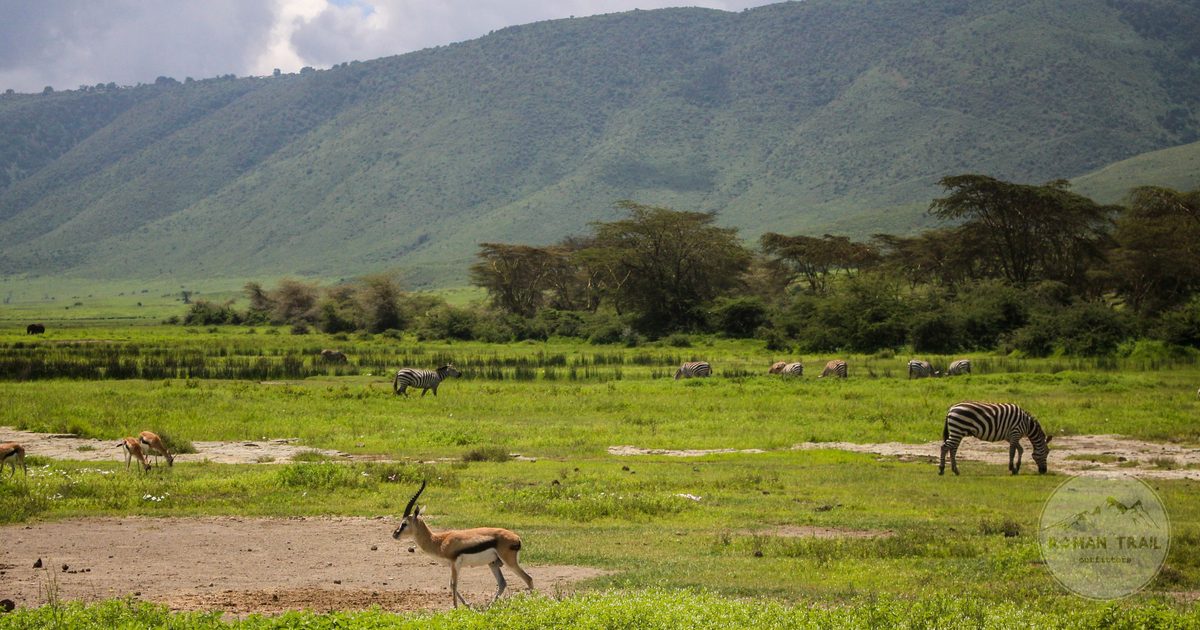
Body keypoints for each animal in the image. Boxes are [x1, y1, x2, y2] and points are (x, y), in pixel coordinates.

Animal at [392, 481, 533, 608]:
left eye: (404, 523)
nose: (394, 534)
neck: (439, 541)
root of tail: (517, 538)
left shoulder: (455, 564)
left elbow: (453, 584)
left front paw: (455, 609)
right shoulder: (452, 565)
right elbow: (450, 584)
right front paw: (467, 605)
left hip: (509, 562)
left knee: (528, 579)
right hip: (492, 563)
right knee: (502, 583)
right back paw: (488, 607)